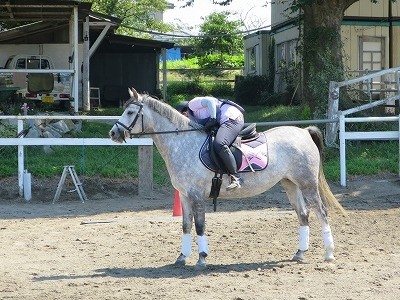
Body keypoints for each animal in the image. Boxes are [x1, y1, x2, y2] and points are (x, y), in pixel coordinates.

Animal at [108, 87, 344, 268]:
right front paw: (182, 257)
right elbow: (185, 226)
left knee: (321, 212)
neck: (182, 142)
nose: (113, 133)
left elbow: (200, 225)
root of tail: (303, 132)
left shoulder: (197, 195)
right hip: (290, 184)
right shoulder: (184, 196)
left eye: (130, 112)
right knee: (303, 214)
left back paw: (329, 253)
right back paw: (300, 253)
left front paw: (202, 258)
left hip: (307, 183)